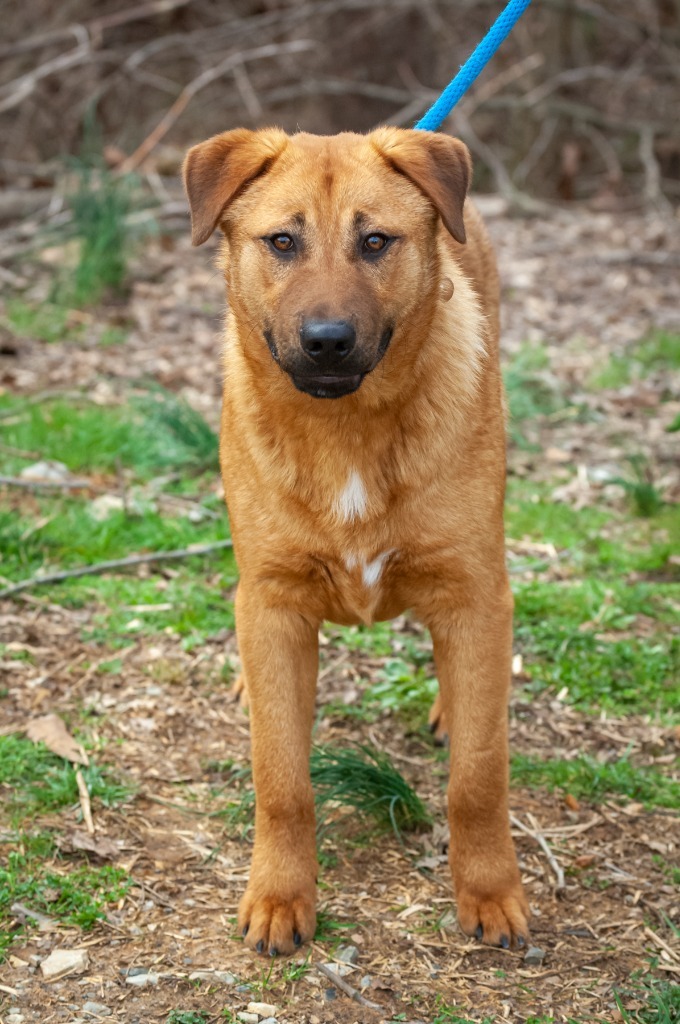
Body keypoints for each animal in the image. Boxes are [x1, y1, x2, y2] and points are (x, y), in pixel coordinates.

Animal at [183, 123, 528, 954]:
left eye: (376, 241)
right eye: (281, 241)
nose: (328, 341)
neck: (345, 433)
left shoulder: (474, 591)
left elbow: (478, 777)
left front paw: (489, 892)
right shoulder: (274, 601)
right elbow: (281, 779)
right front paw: (280, 896)